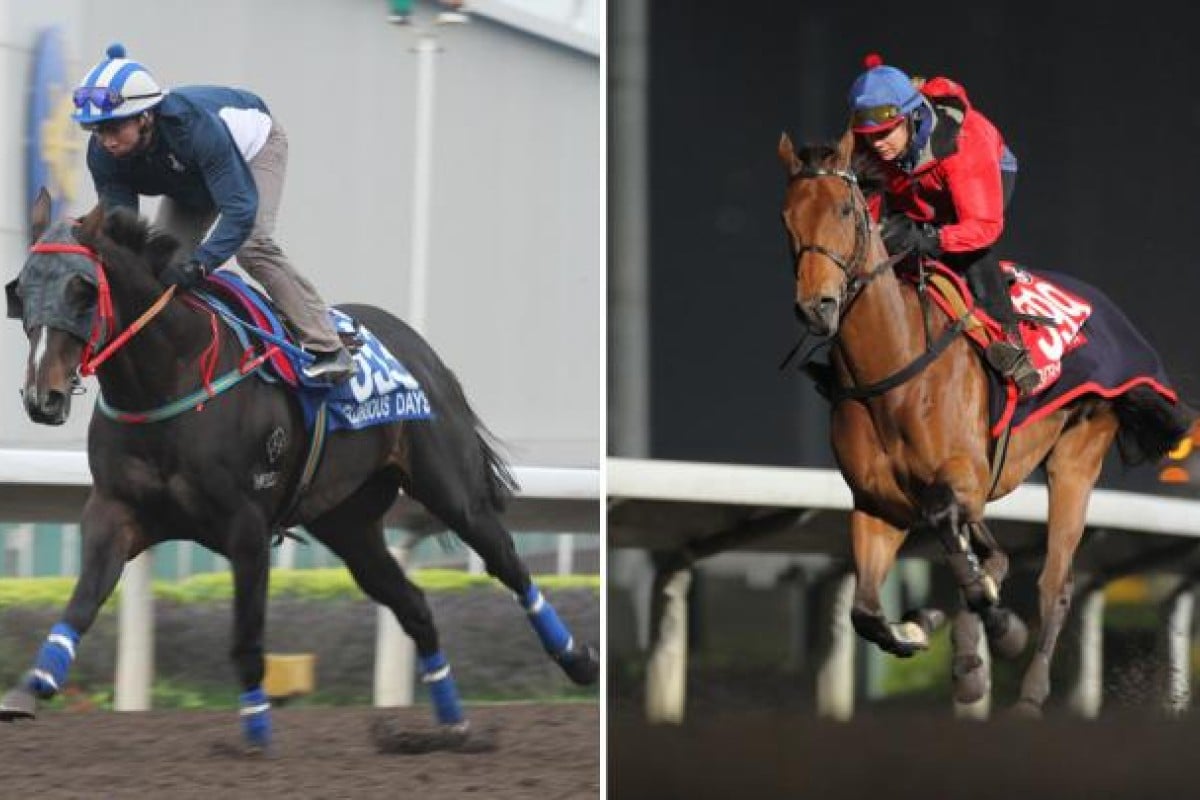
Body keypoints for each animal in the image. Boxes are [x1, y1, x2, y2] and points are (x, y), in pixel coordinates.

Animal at [0, 191, 600, 753]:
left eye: (81, 290)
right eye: (21, 291)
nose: (41, 397)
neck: (169, 379)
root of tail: (419, 347)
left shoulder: (245, 525)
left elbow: (246, 636)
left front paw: (256, 734)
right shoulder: (115, 511)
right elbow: (82, 601)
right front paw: (32, 685)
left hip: (452, 490)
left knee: (509, 565)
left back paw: (576, 659)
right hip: (349, 523)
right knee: (414, 605)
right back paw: (451, 724)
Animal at [777, 131, 1190, 714]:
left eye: (844, 209)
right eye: (787, 216)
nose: (817, 306)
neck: (893, 368)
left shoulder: (964, 479)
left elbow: (958, 536)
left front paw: (999, 627)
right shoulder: (878, 506)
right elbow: (865, 612)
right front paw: (920, 627)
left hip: (1077, 457)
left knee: (1055, 583)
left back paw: (1029, 691)